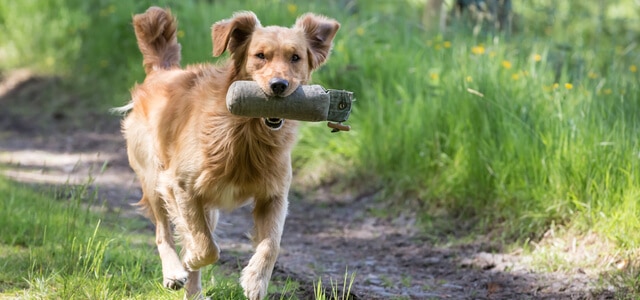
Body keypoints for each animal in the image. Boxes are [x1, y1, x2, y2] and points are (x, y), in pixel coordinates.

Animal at [119, 5, 340, 298]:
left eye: (296, 57)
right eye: (260, 56)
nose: (278, 85)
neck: (245, 133)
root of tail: (162, 72)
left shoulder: (274, 195)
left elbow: (271, 244)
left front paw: (255, 281)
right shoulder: (181, 187)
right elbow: (206, 247)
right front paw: (191, 259)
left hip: (205, 207)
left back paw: (194, 292)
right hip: (154, 178)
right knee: (162, 232)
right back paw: (174, 272)